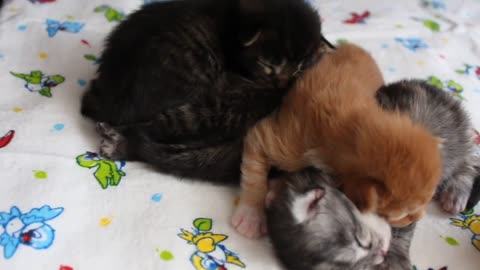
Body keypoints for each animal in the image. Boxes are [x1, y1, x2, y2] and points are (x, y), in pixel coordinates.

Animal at [232, 43, 442, 238]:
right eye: (405, 214)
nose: (420, 217)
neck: (352, 128)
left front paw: (275, 189)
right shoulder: (285, 139)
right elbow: (254, 174)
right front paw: (251, 216)